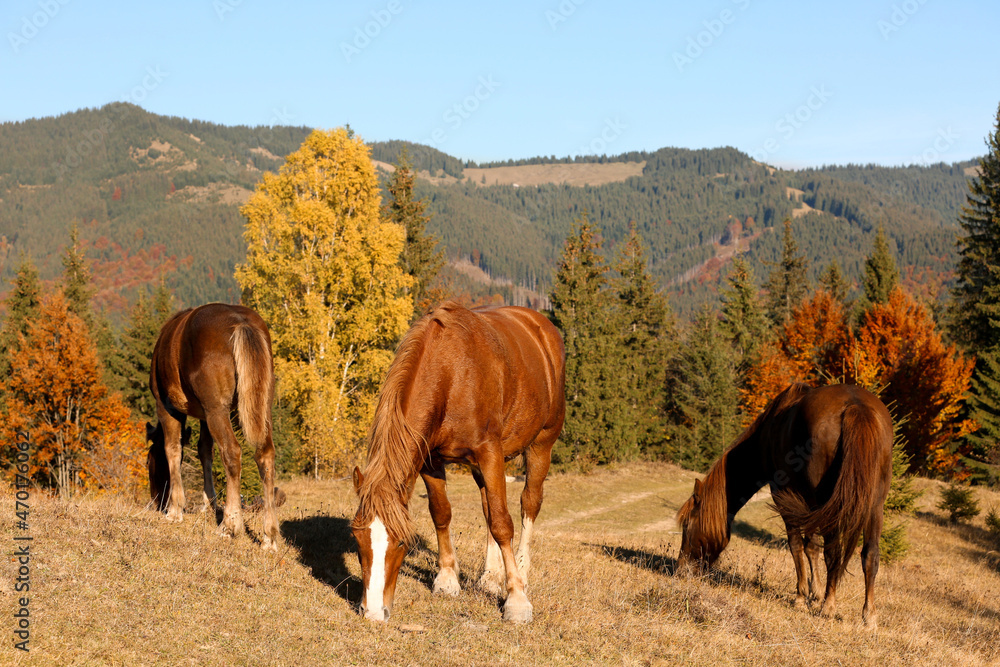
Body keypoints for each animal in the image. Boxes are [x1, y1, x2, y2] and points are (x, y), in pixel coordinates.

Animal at [146, 303, 282, 551]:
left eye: (149, 462)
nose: (155, 500)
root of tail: (241, 322)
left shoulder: (167, 407)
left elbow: (173, 449)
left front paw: (175, 509)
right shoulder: (203, 416)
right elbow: (204, 452)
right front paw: (208, 503)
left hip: (217, 410)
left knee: (231, 452)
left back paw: (230, 525)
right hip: (260, 407)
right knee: (265, 455)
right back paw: (269, 536)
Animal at [351, 301, 565, 623]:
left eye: (401, 541)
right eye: (357, 537)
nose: (374, 611)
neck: (450, 374)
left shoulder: (490, 453)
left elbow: (503, 523)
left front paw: (516, 599)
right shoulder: (430, 459)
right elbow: (442, 513)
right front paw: (448, 578)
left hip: (542, 443)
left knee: (529, 503)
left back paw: (522, 572)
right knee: (488, 506)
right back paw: (490, 576)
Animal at [676, 383, 893, 628]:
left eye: (687, 525)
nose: (680, 570)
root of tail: (856, 406)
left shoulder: (785, 497)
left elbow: (797, 545)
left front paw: (802, 597)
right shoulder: (809, 505)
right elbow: (811, 547)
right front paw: (815, 592)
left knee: (834, 553)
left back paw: (828, 607)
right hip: (874, 506)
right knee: (870, 555)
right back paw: (869, 615)